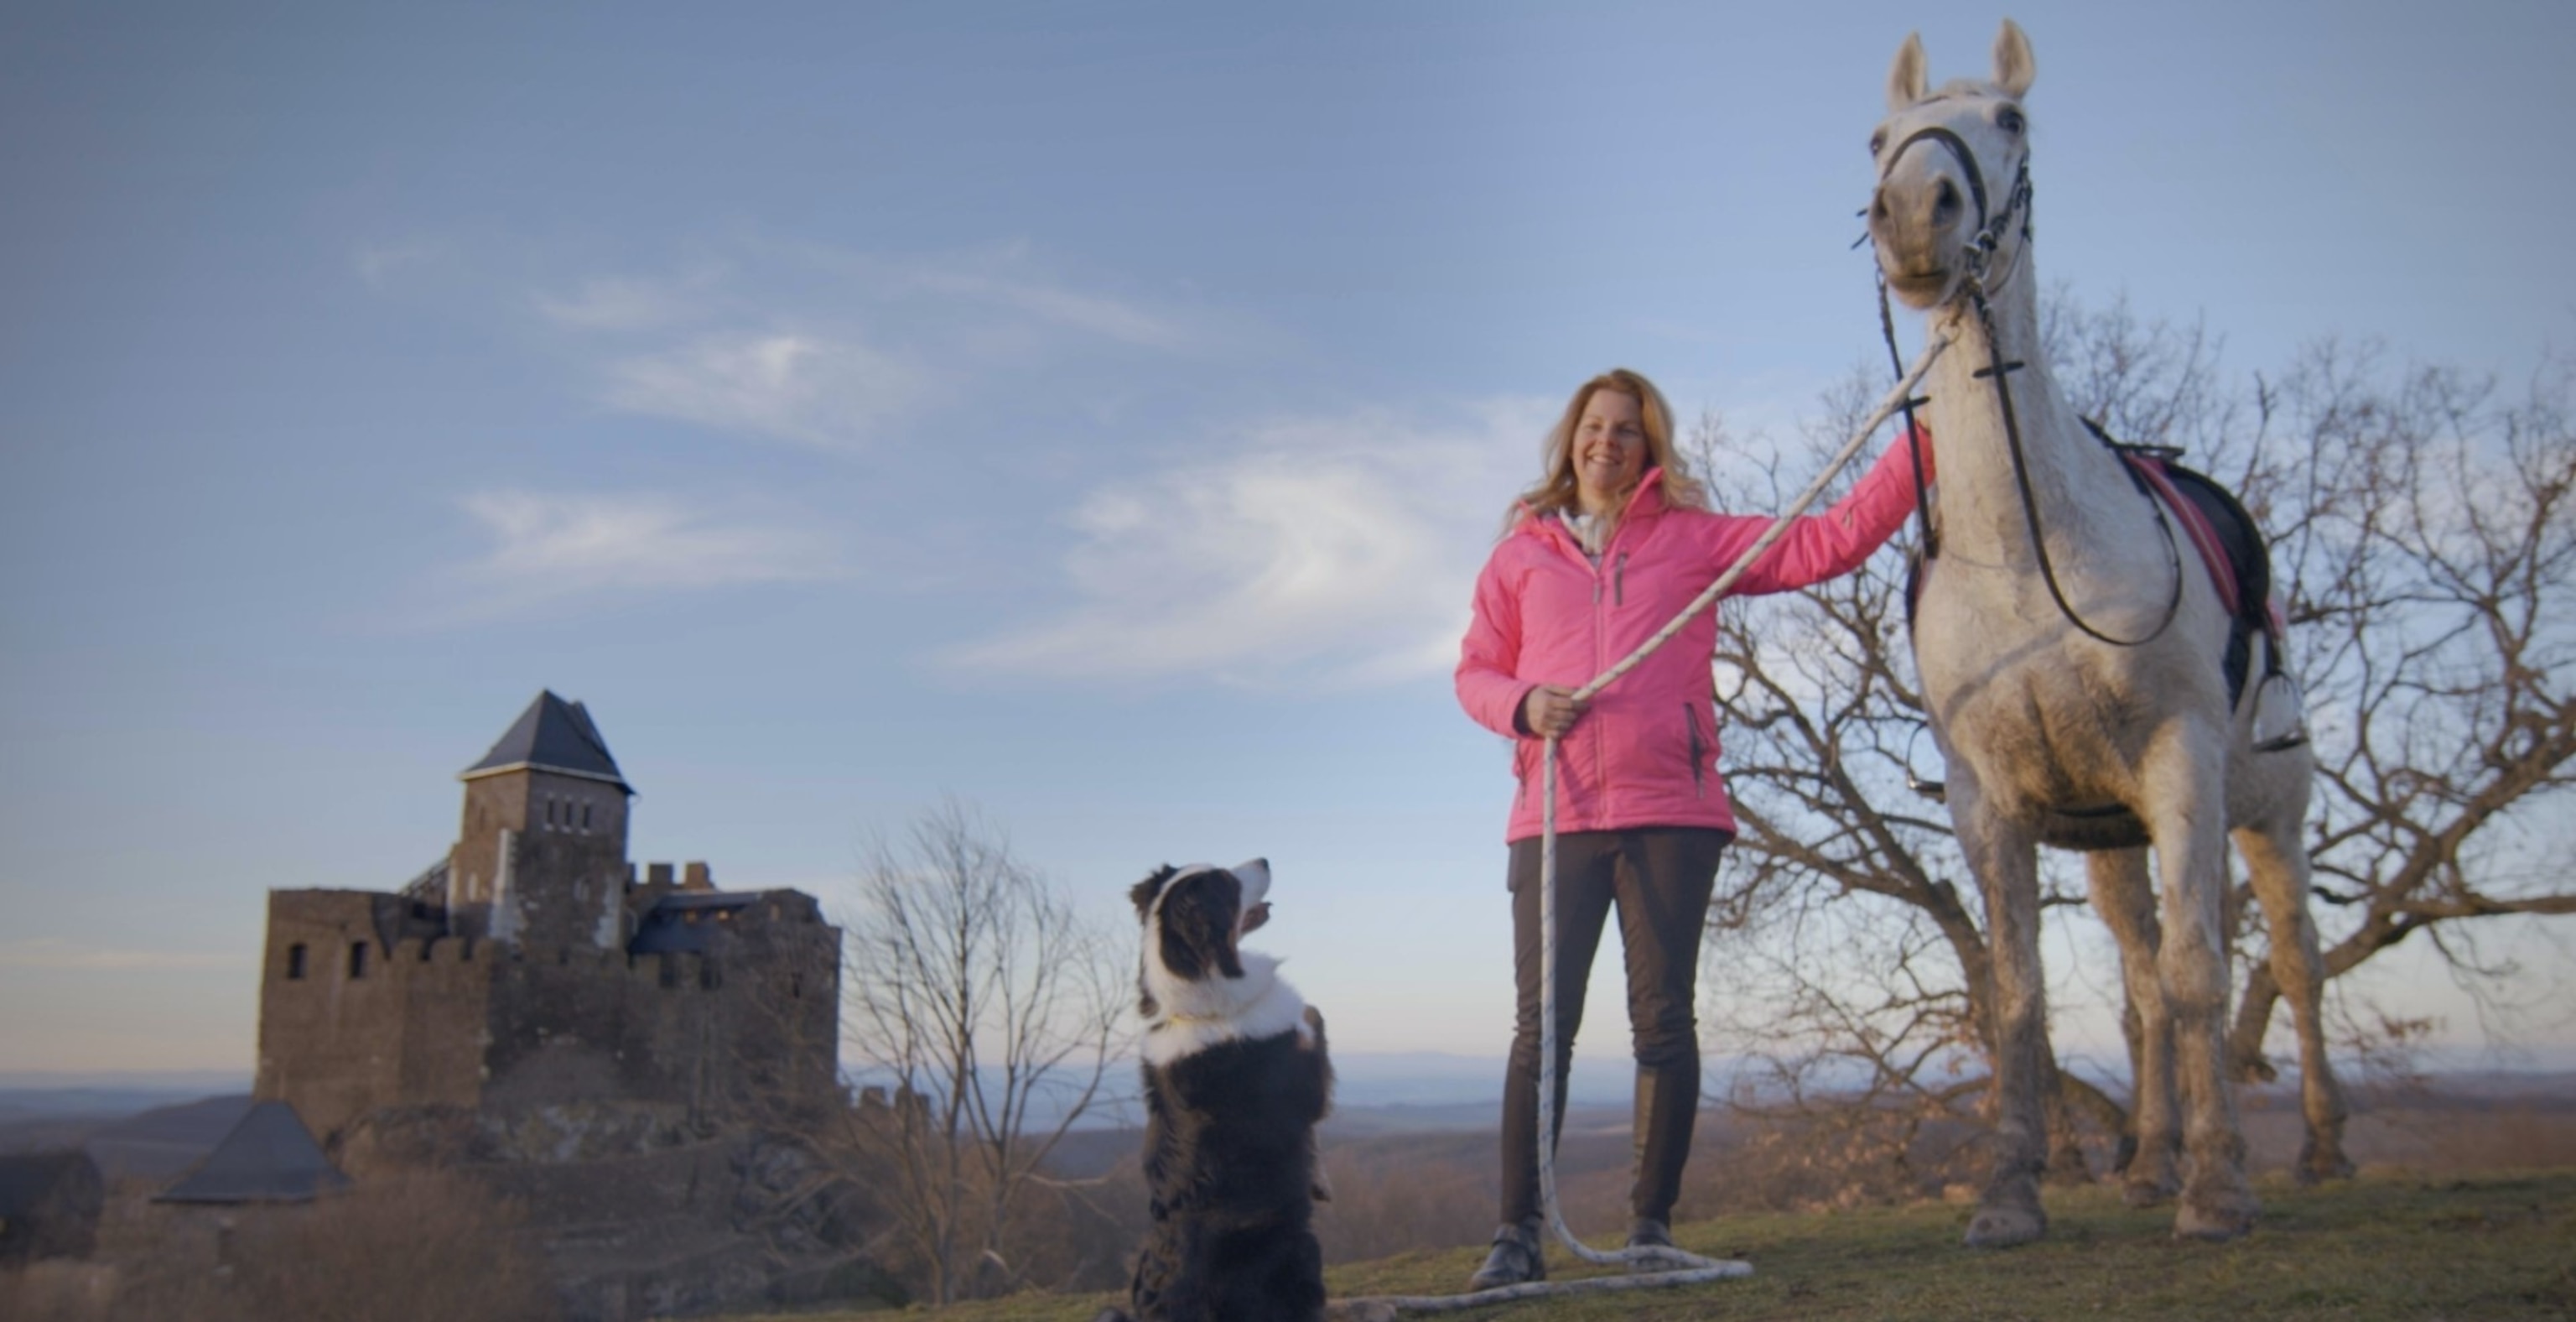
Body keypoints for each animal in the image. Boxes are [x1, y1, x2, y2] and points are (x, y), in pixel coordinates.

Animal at [1107, 855, 1339, 1319]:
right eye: (1229, 883)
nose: (1265, 859)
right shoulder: (1301, 1082)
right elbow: (1312, 1015)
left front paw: (1319, 1176)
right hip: (1300, 1250)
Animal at [1875, 18, 2359, 1236]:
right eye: (1878, 137)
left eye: (2011, 120)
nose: (1913, 213)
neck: (2026, 554)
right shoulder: (1990, 799)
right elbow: (2020, 997)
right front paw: (2010, 1194)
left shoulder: (2181, 759)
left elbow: (2202, 973)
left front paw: (2219, 1188)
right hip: (2113, 845)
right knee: (2142, 981)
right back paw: (2149, 1161)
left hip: (2268, 820)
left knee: (2293, 958)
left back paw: (2318, 1146)